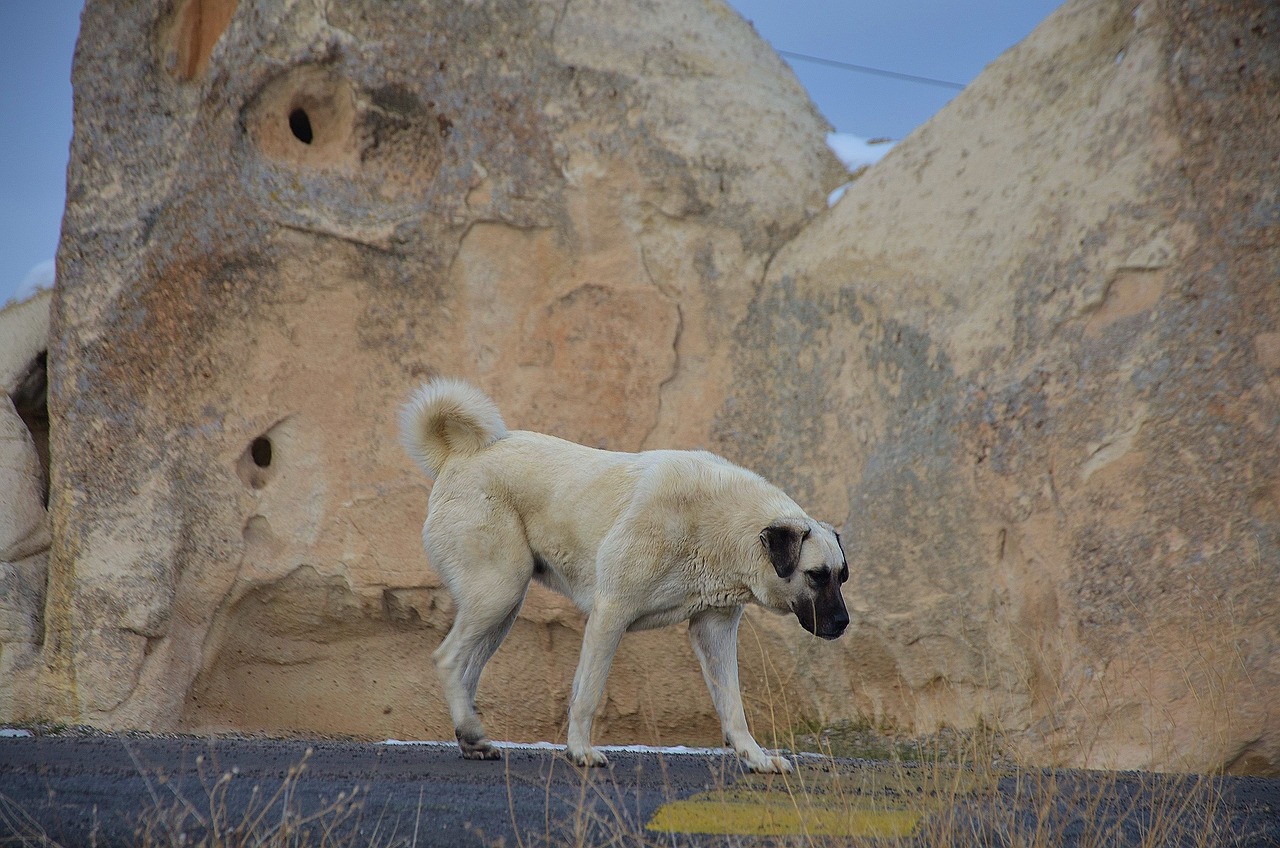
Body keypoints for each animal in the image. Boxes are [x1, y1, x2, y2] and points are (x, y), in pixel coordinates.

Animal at [394, 381, 844, 773]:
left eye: (842, 576)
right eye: (816, 575)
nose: (843, 623)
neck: (724, 523)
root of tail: (460, 456)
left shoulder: (714, 630)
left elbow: (733, 707)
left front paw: (756, 759)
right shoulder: (611, 612)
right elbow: (588, 694)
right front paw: (581, 752)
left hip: (502, 609)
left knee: (468, 669)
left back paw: (471, 736)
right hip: (498, 592)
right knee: (449, 659)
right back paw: (470, 730)